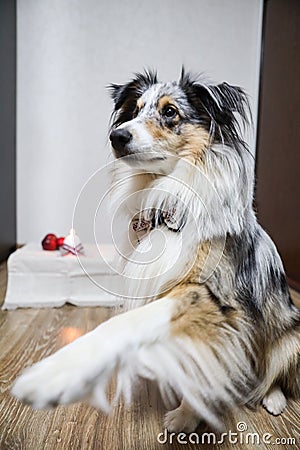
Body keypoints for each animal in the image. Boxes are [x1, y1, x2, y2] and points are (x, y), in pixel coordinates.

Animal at [12, 69, 300, 432]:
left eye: (170, 112)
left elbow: (127, 324)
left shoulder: (215, 297)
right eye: (134, 111)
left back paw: (273, 399)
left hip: (289, 334)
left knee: (275, 372)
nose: (116, 136)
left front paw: (56, 373)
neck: (166, 202)